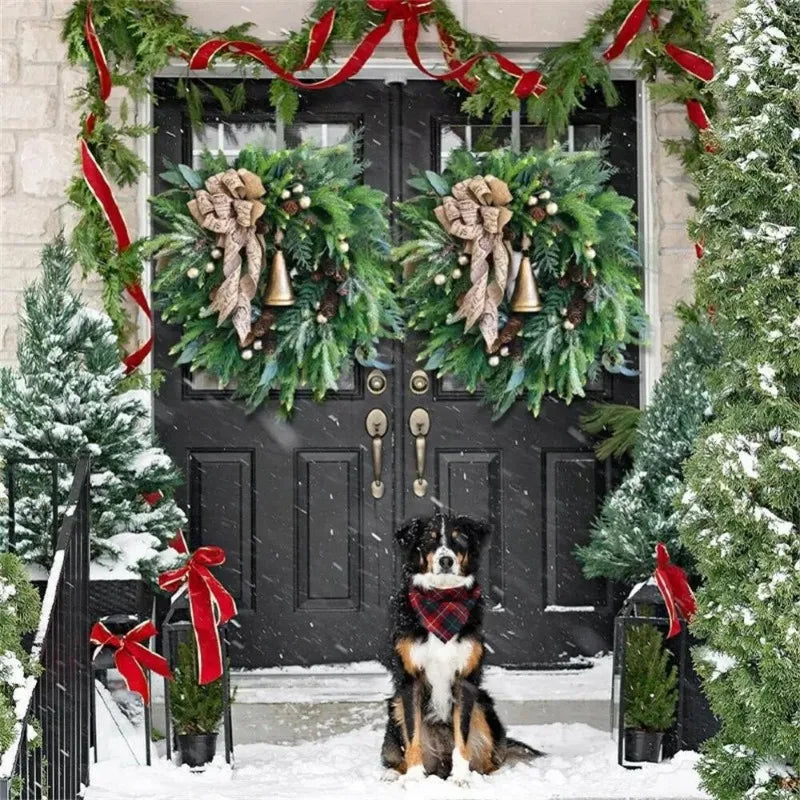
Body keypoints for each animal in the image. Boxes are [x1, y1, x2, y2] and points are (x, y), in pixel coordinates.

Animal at [380, 512, 540, 788]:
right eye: (429, 539)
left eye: (460, 539)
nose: (446, 560)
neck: (442, 600)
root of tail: (440, 766)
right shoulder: (410, 682)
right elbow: (412, 737)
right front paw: (414, 777)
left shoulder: (465, 680)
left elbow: (461, 738)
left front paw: (462, 777)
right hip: (395, 708)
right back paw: (394, 773)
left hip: (483, 708)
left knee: (491, 759)